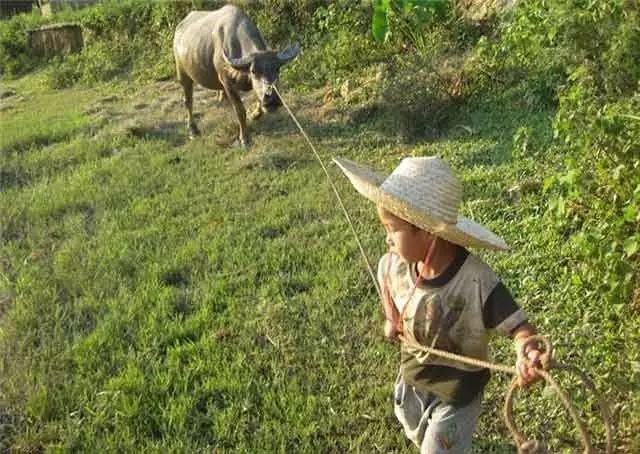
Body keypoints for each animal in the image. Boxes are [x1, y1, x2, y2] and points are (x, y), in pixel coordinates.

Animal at [171, 5, 298, 147]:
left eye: (277, 69)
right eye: (253, 71)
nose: (273, 100)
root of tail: (179, 30)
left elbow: (258, 99)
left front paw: (254, 115)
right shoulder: (227, 82)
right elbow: (240, 110)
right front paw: (244, 138)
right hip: (182, 73)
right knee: (188, 101)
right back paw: (193, 130)